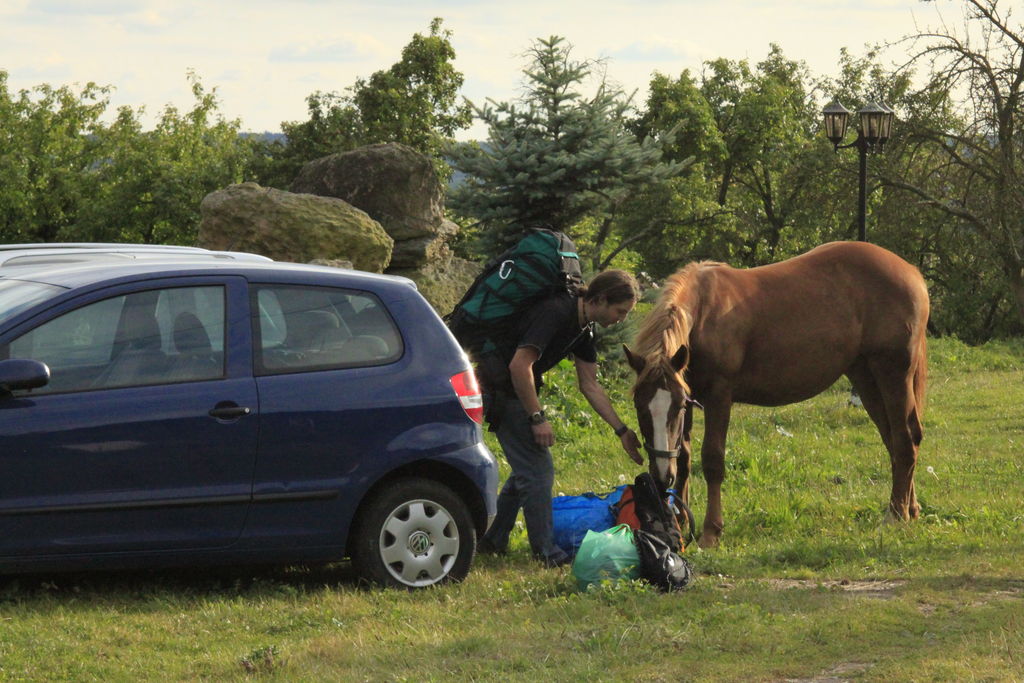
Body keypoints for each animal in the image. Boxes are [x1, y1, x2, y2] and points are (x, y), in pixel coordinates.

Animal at [622, 242, 929, 548]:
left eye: (674, 407)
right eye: (639, 406)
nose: (662, 477)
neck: (703, 314)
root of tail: (911, 272)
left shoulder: (718, 397)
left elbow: (712, 460)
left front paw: (711, 531)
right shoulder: (690, 392)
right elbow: (684, 457)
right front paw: (680, 520)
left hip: (892, 373)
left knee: (904, 439)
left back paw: (895, 515)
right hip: (865, 376)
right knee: (893, 439)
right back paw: (910, 509)